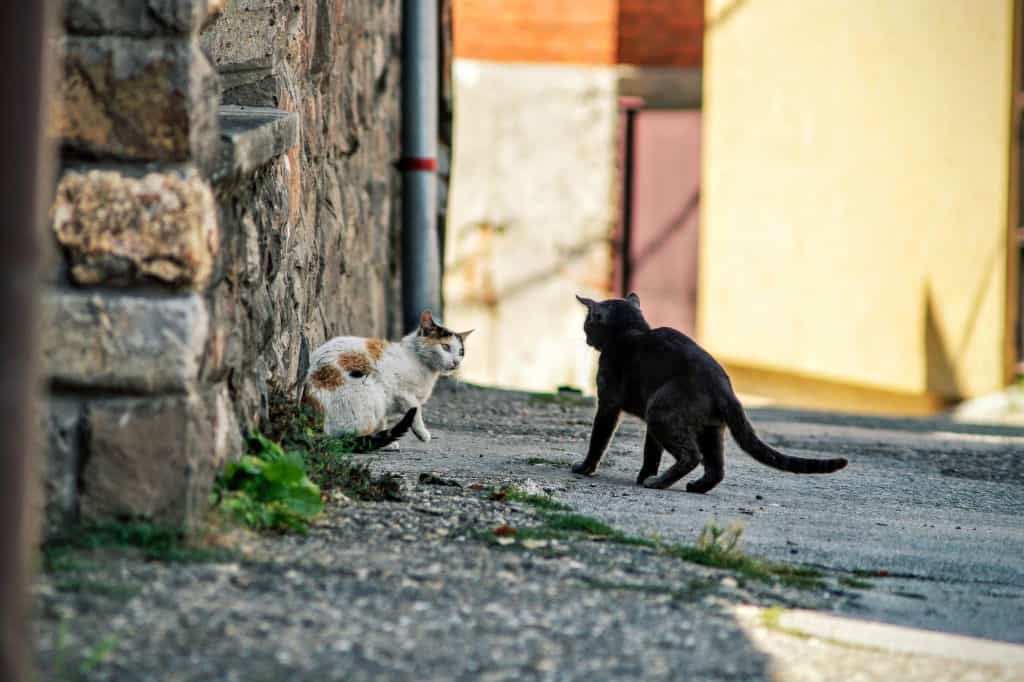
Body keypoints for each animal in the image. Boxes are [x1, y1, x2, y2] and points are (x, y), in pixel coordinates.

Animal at [299, 309, 468, 446]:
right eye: (445, 347)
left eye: (461, 352)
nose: (456, 363)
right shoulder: (403, 393)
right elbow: (416, 411)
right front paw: (422, 433)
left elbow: (383, 421)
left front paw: (388, 440)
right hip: (371, 389)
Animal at [573, 288, 843, 491]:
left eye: (587, 324)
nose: (585, 337)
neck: (631, 330)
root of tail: (723, 386)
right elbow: (652, 452)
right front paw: (643, 475)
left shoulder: (608, 404)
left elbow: (599, 439)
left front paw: (585, 468)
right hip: (710, 428)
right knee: (716, 468)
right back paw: (694, 486)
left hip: (660, 411)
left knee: (692, 456)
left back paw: (659, 483)